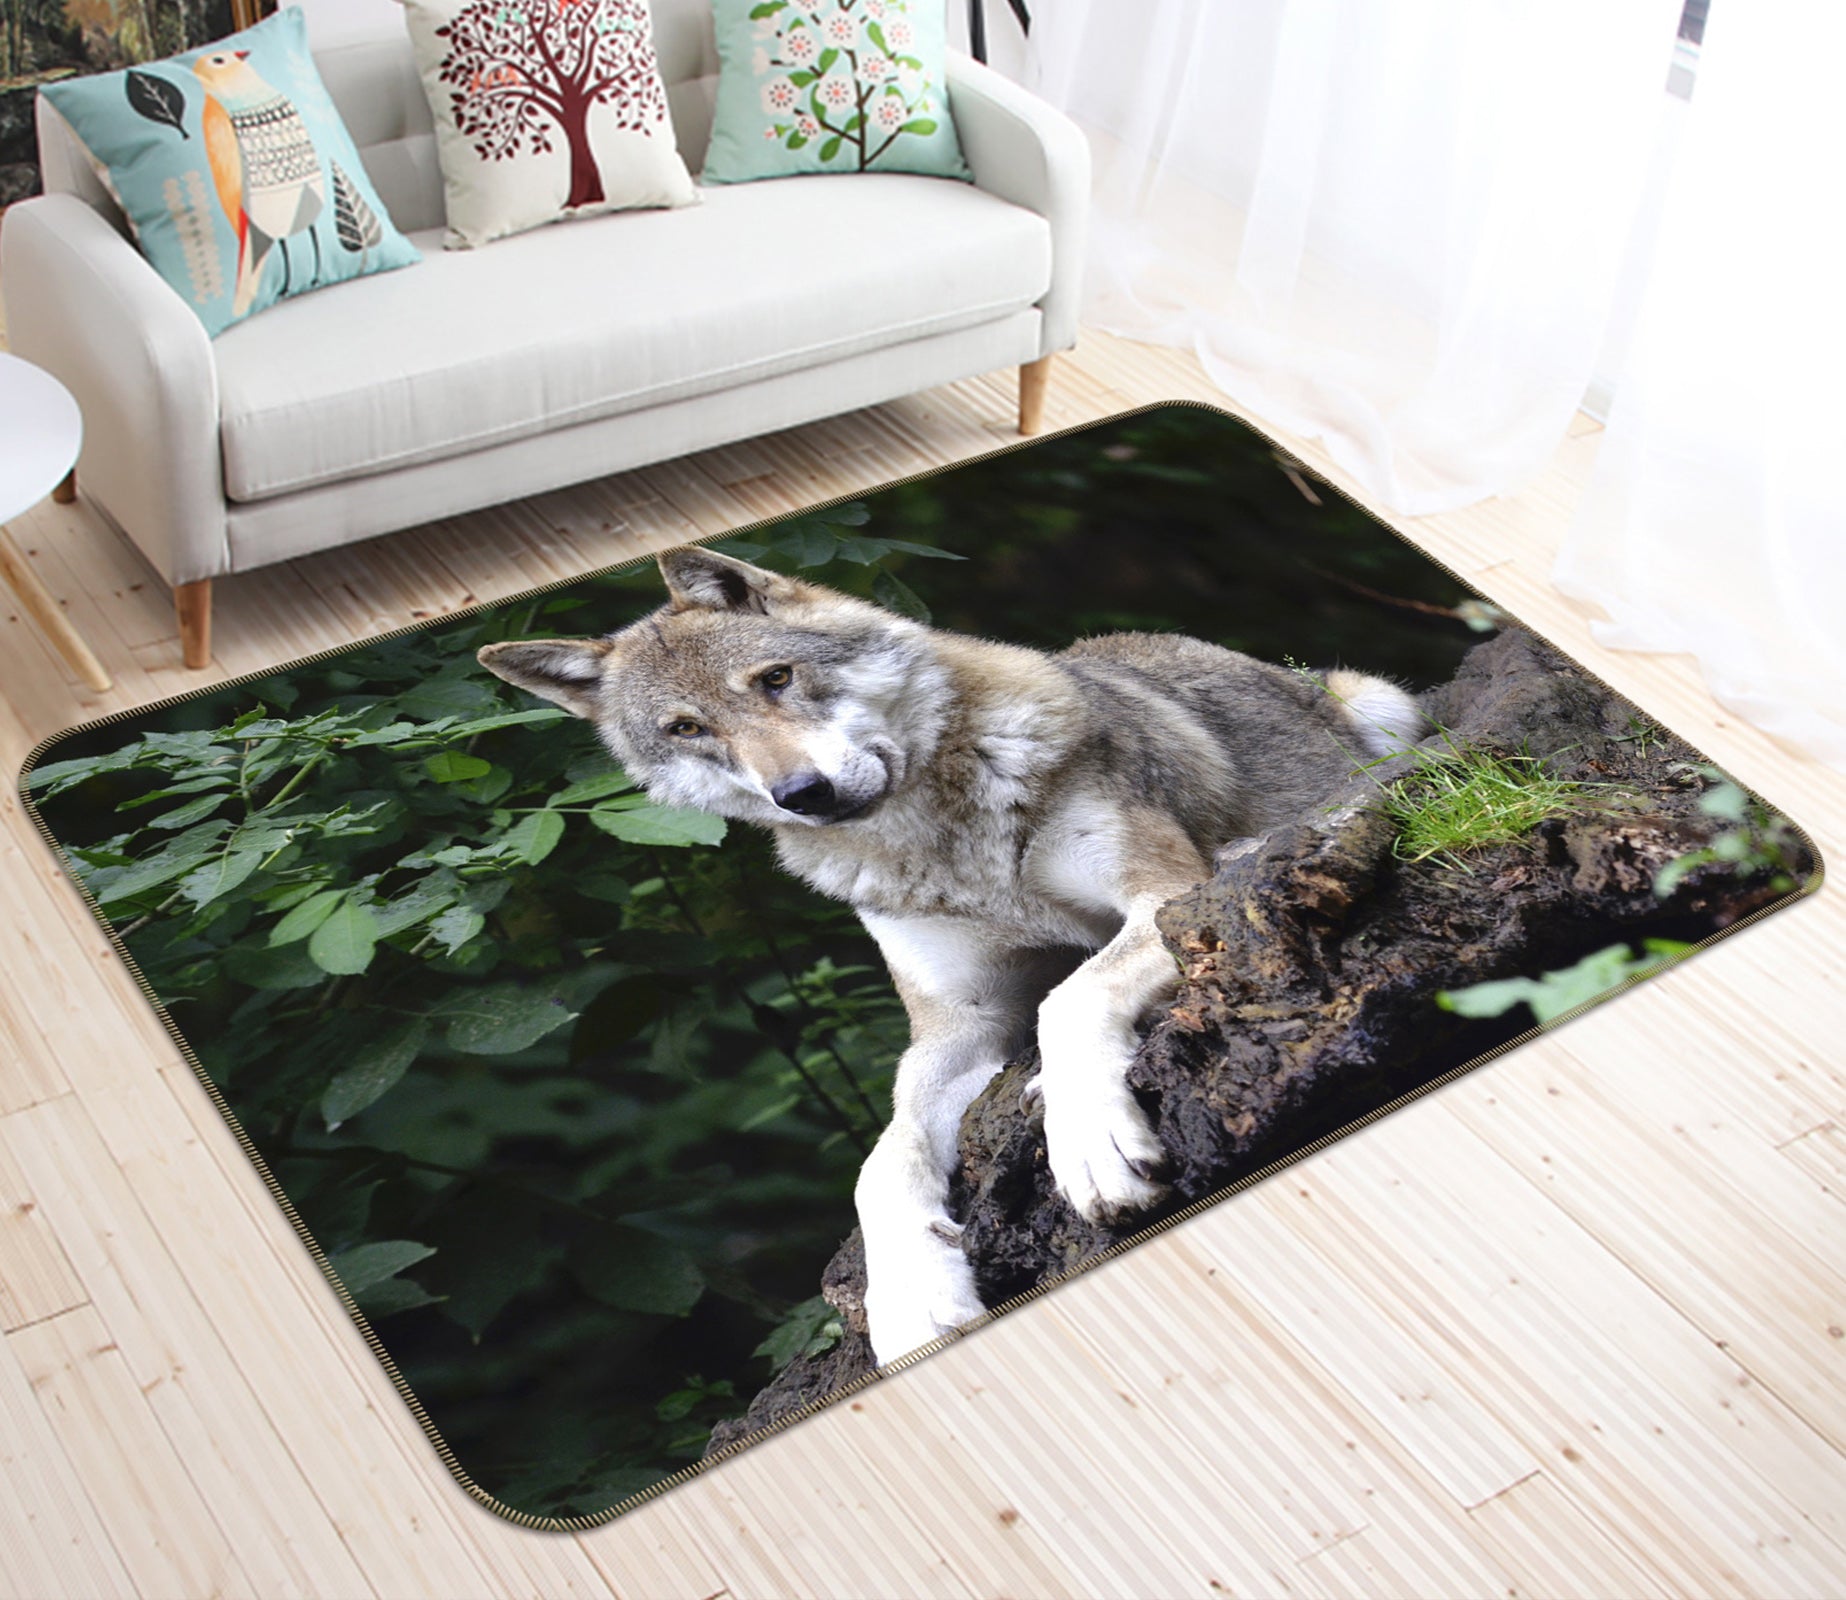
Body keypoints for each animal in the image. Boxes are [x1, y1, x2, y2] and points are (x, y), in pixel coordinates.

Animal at [478, 547, 1424, 1365]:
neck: (943, 845)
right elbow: (879, 1165)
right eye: (688, 727)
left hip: (1386, 711)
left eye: (775, 679)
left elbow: (1069, 1000)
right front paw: (912, 1300)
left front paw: (1089, 1144)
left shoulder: (1162, 897)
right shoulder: (956, 1029)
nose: (803, 794)